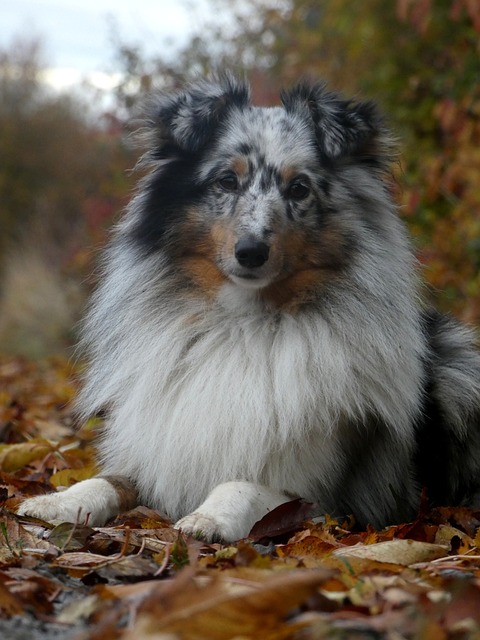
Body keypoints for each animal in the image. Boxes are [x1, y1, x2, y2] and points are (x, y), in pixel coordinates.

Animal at [18, 77, 480, 544]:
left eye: (299, 188)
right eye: (226, 181)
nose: (251, 252)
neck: (242, 323)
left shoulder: (324, 496)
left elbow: (240, 484)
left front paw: (206, 519)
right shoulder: (153, 456)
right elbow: (105, 480)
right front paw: (55, 502)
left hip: (459, 367)